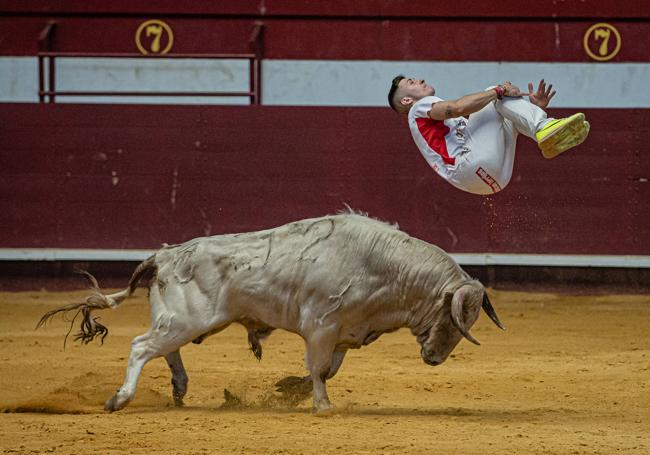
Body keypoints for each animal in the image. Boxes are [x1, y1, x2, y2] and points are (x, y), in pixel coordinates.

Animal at [39, 213, 506, 414]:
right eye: (455, 319)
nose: (435, 359)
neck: (383, 266)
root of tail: (165, 255)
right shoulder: (320, 326)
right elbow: (319, 369)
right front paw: (321, 406)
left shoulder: (345, 333)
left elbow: (328, 369)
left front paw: (288, 389)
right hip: (184, 320)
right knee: (141, 347)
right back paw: (120, 399)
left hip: (181, 322)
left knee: (164, 349)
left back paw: (179, 388)